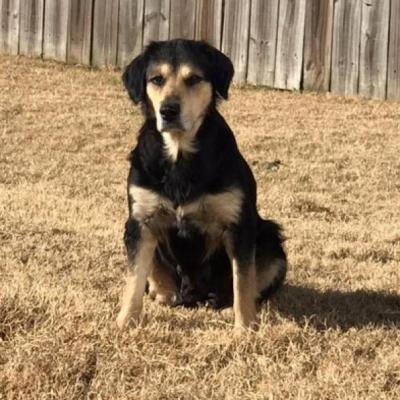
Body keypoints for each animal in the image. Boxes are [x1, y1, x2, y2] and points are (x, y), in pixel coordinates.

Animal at [115, 39, 288, 330]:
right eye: (156, 79)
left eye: (194, 78)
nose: (168, 111)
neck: (180, 156)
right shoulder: (139, 222)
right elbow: (134, 278)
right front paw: (125, 321)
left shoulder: (239, 225)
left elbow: (243, 280)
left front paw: (244, 327)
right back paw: (164, 293)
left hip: (271, 238)